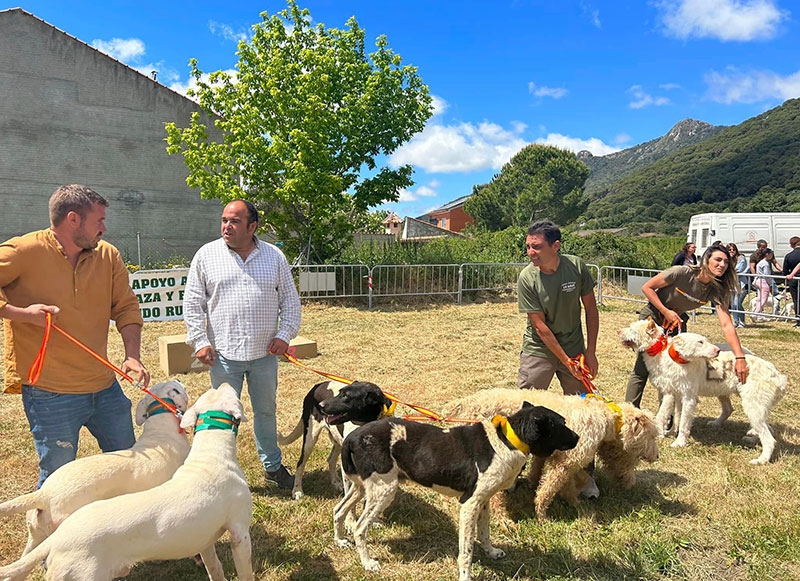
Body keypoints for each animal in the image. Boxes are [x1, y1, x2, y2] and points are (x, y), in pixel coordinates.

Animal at [332, 404, 580, 580]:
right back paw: (368, 563)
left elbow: (485, 533)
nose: (578, 438)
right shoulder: (468, 504)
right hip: (384, 490)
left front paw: (491, 552)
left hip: (362, 488)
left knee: (338, 510)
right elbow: (466, 552)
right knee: (360, 528)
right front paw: (466, 576)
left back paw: (340, 540)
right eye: (562, 424)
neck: (506, 441)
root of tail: (353, 437)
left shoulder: (483, 501)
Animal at [440, 388, 660, 520]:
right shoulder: (565, 463)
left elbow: (553, 481)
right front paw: (542, 514)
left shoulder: (557, 459)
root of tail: (463, 405)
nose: (657, 456)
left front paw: (575, 504)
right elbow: (549, 490)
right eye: (653, 436)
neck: (606, 419)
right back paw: (505, 520)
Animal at [620, 318, 788, 462]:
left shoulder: (683, 397)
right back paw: (745, 435)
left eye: (632, 329)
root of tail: (778, 376)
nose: (619, 331)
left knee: (769, 438)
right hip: (743, 402)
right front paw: (670, 433)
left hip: (753, 407)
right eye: (700, 342)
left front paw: (676, 441)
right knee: (740, 414)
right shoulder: (676, 394)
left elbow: (671, 418)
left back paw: (761, 460)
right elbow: (677, 417)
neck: (665, 354)